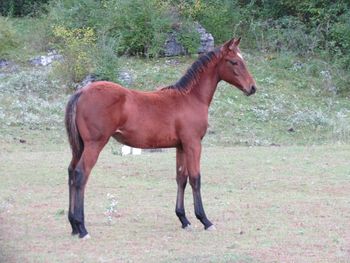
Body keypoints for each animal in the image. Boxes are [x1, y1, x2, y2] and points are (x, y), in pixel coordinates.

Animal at [65, 37, 256, 239]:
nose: (252, 87)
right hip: (94, 144)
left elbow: (181, 178)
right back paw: (82, 228)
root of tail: (81, 92)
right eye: (234, 62)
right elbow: (195, 178)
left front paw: (184, 219)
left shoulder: (181, 146)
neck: (191, 98)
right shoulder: (193, 143)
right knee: (81, 174)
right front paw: (205, 220)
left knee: (71, 172)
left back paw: (73, 225)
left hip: (80, 146)